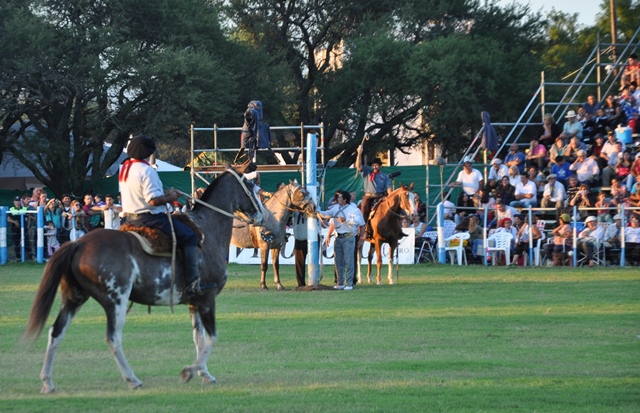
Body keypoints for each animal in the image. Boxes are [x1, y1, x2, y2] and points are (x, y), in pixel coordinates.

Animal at [23, 163, 268, 392]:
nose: (262, 216)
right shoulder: (207, 299)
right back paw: (132, 379)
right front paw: (190, 371)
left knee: (56, 332)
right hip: (116, 301)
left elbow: (198, 339)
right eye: (251, 186)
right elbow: (212, 338)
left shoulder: (194, 302)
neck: (207, 231)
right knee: (113, 338)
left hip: (73, 298)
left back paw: (47, 381)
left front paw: (204, 374)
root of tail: (78, 243)